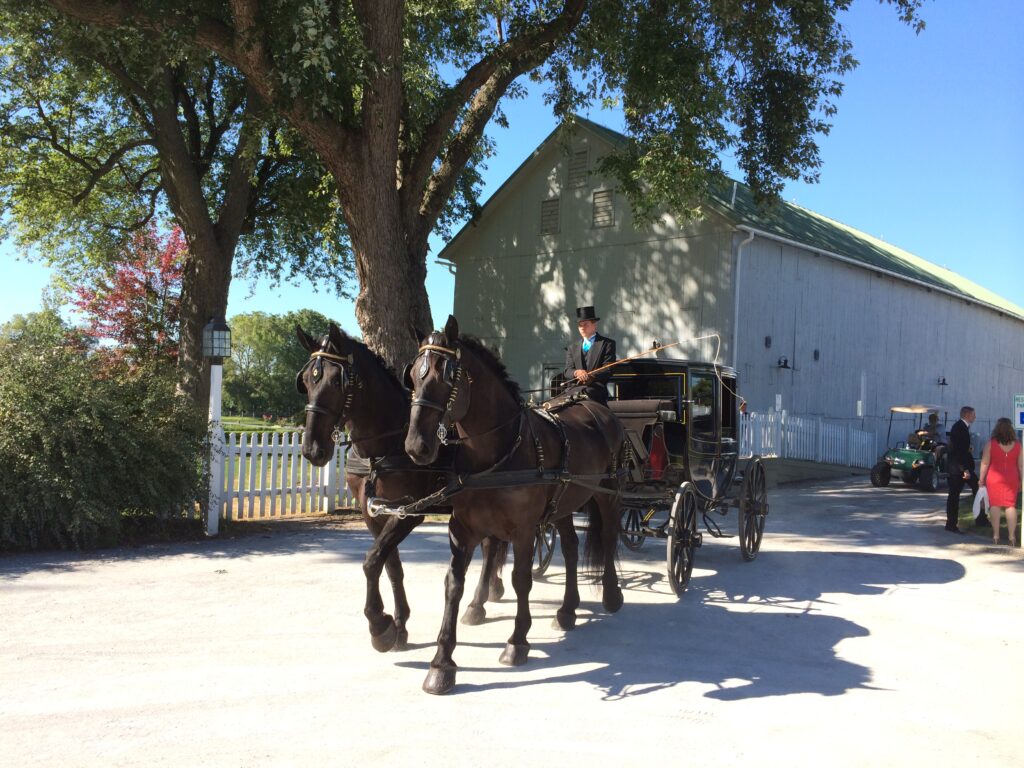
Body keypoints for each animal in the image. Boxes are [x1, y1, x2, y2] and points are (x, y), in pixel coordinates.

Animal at [294, 321, 505, 651]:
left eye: (336, 381)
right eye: (305, 380)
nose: (312, 449)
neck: (382, 448)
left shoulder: (409, 511)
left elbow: (371, 561)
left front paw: (379, 625)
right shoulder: (373, 512)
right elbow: (390, 564)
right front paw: (399, 624)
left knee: (492, 545)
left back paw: (478, 602)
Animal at [403, 315, 618, 696]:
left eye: (447, 375)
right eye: (413, 374)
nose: (417, 446)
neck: (496, 452)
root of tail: (596, 409)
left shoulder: (523, 530)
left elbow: (521, 580)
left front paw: (517, 641)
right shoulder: (462, 529)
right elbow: (454, 583)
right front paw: (441, 664)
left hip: (603, 491)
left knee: (607, 536)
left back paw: (611, 595)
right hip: (564, 502)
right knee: (571, 547)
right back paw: (567, 610)